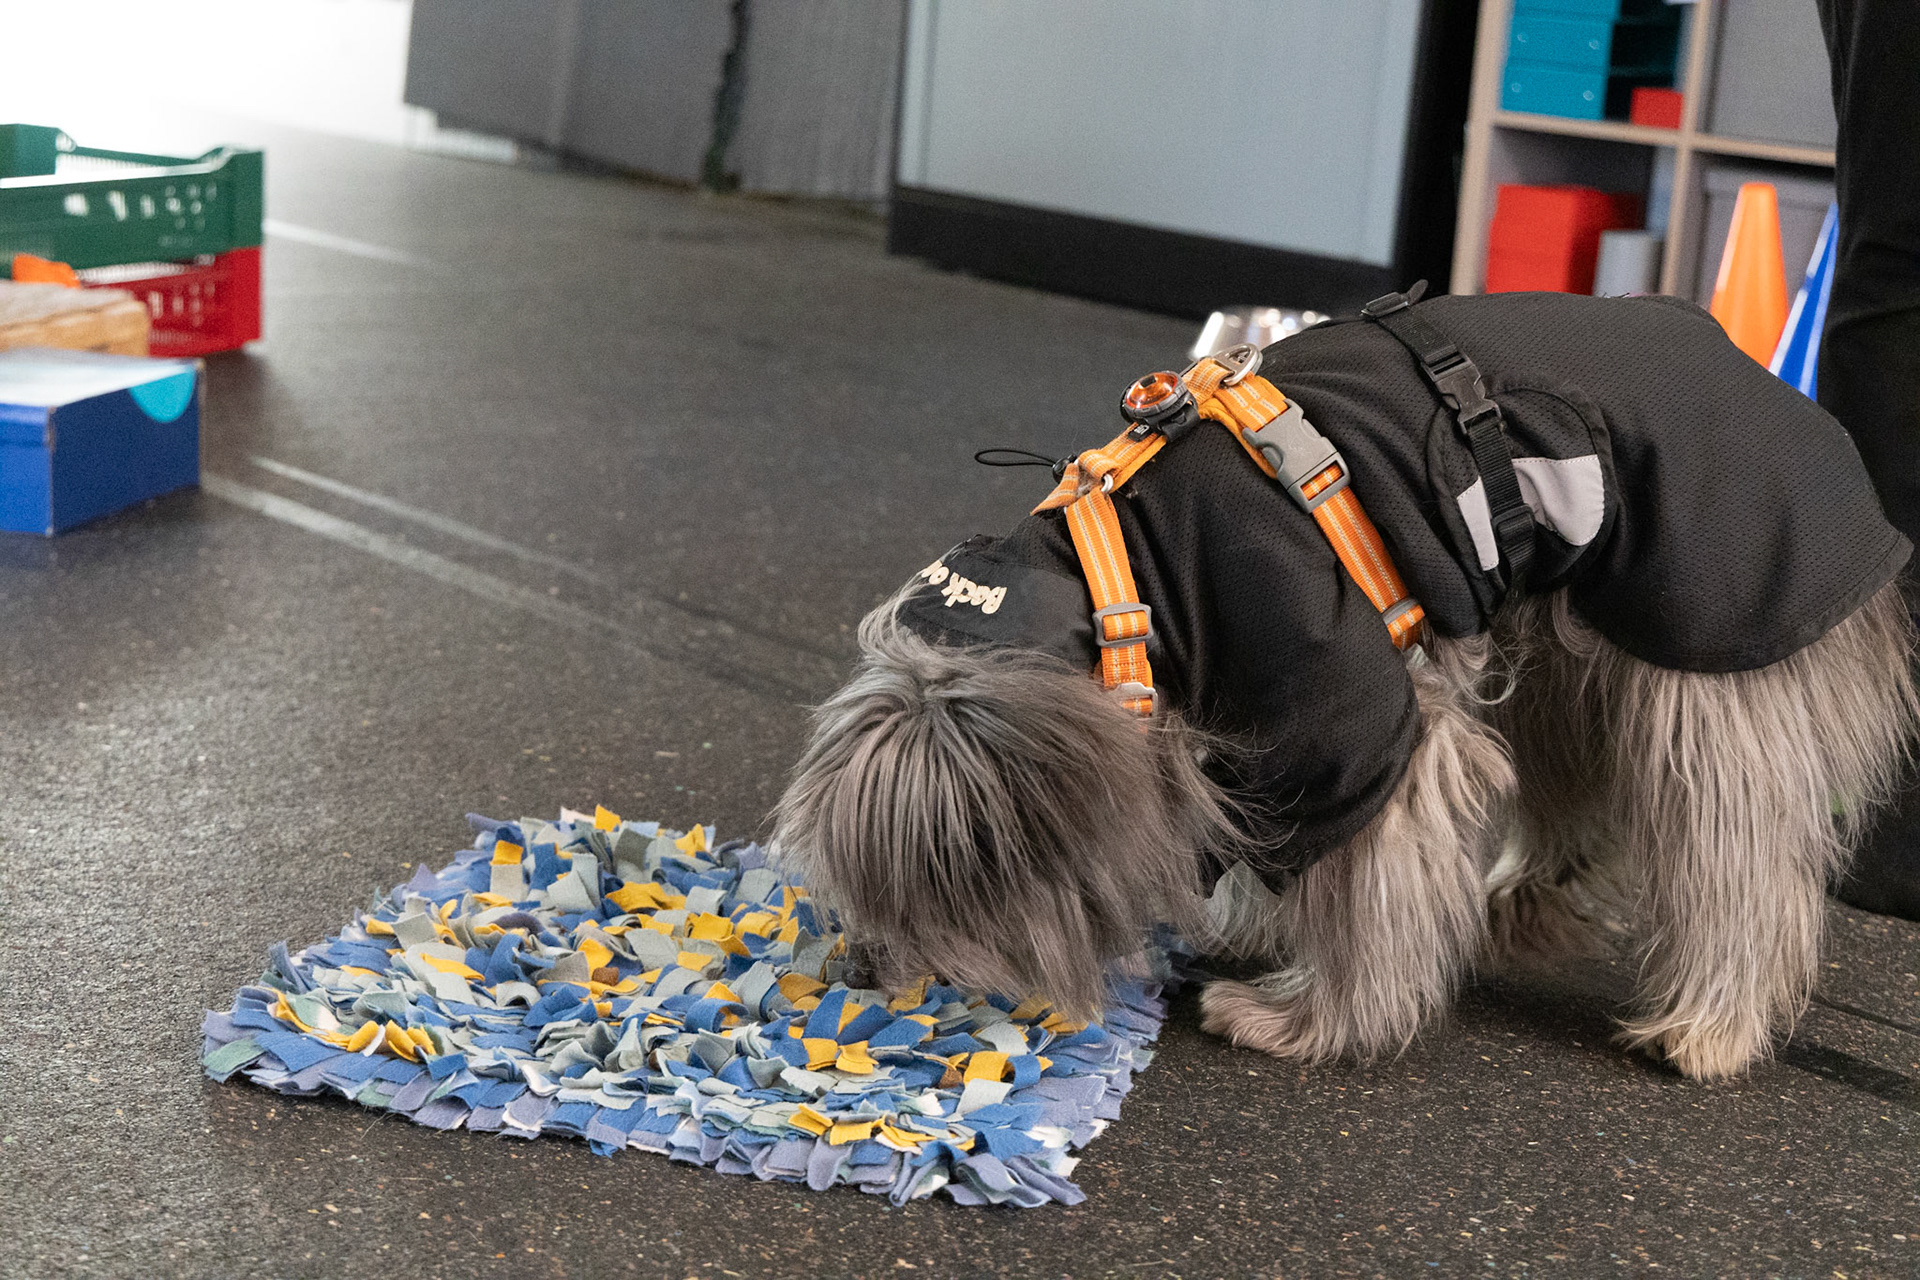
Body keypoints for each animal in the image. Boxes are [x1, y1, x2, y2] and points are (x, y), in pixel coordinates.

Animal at [772, 290, 1920, 1081]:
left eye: (926, 879)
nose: (854, 975)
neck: (1129, 579)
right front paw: (1248, 924)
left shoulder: (1354, 719)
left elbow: (1364, 868)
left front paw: (1311, 1019)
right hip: (1559, 637)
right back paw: (1519, 901)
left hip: (1712, 636)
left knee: (1739, 849)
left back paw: (1709, 1023)